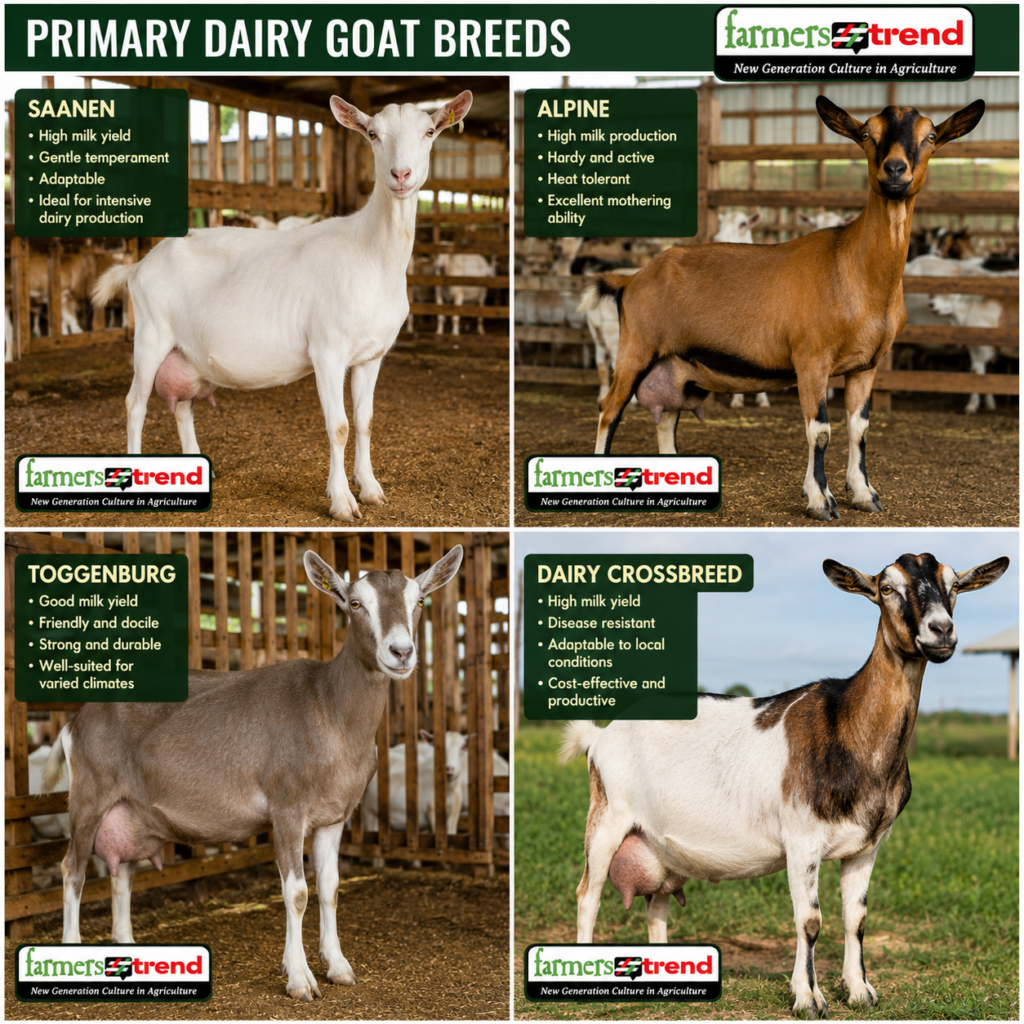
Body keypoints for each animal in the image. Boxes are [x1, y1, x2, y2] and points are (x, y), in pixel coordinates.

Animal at [42, 544, 463, 1000]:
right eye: (354, 604)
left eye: (419, 601)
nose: (401, 652)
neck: (330, 710)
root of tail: (75, 722)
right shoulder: (287, 807)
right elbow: (296, 892)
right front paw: (300, 979)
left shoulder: (335, 814)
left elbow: (330, 887)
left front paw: (338, 967)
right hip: (90, 793)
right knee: (72, 869)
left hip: (130, 808)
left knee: (123, 872)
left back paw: (128, 946)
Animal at [91, 91, 473, 521]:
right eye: (373, 134)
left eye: (430, 132)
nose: (401, 175)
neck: (371, 255)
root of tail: (139, 265)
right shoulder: (327, 350)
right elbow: (339, 425)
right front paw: (342, 501)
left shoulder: (371, 355)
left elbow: (365, 421)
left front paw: (371, 488)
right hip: (151, 336)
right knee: (135, 404)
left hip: (185, 352)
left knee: (183, 408)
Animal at [561, 552, 1007, 1017]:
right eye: (886, 588)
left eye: (953, 585)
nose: (941, 630)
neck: (847, 728)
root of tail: (599, 736)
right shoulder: (802, 838)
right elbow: (809, 919)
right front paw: (809, 998)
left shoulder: (867, 845)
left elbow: (856, 917)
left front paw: (859, 991)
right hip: (607, 817)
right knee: (588, 895)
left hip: (659, 846)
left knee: (656, 906)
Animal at [587, 97, 986, 520]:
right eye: (866, 133)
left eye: (931, 136)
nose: (895, 170)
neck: (853, 267)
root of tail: (632, 280)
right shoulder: (811, 359)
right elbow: (819, 430)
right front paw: (820, 500)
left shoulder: (867, 365)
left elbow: (858, 428)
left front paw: (864, 493)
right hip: (636, 348)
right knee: (609, 410)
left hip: (677, 365)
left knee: (666, 419)